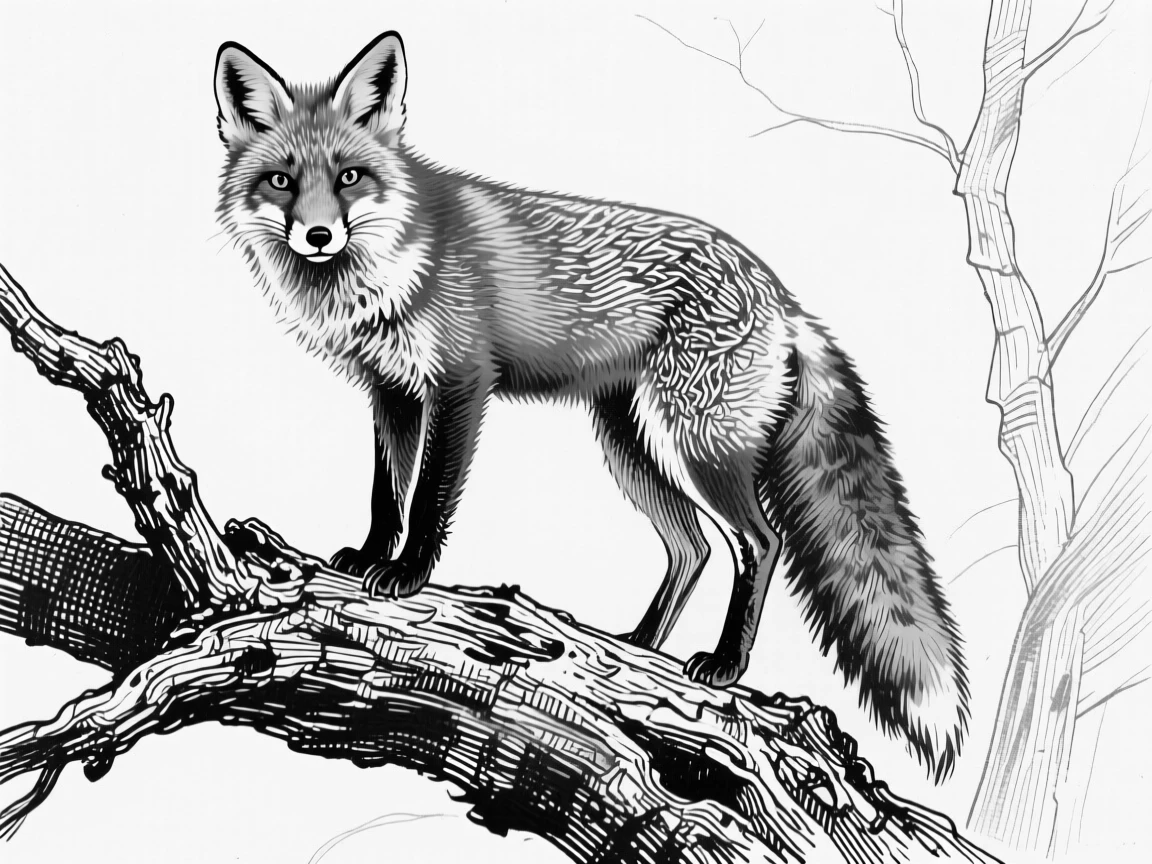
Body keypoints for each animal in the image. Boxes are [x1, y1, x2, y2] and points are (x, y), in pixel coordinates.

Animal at [214, 31, 969, 780]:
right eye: (281, 181)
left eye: (349, 178)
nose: (317, 236)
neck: (390, 267)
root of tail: (784, 298)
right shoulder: (393, 391)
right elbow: (385, 494)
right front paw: (369, 555)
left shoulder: (459, 383)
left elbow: (427, 499)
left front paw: (406, 573)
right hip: (629, 444)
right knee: (692, 548)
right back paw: (636, 651)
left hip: (694, 443)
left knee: (759, 542)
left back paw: (723, 664)